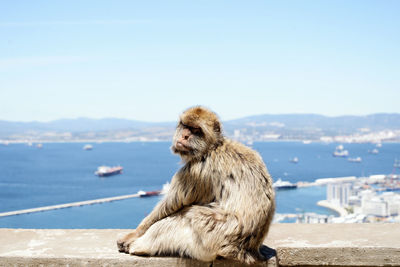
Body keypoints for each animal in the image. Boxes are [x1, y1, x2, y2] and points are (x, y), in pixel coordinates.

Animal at [117, 105, 276, 264]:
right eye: (186, 126)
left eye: (196, 130)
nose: (185, 136)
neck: (211, 147)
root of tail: (248, 251)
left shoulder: (196, 171)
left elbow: (171, 205)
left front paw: (134, 234)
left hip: (216, 235)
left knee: (190, 214)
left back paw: (139, 246)